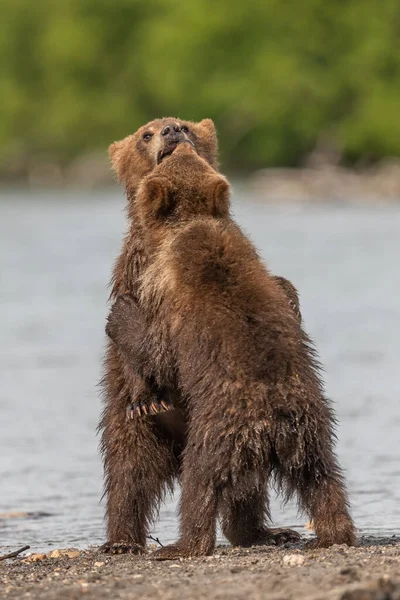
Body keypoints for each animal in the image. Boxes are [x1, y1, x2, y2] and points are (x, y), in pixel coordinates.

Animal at [107, 139, 356, 556]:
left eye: (183, 151)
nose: (178, 136)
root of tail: (272, 423)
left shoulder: (171, 305)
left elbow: (160, 354)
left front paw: (120, 315)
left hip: (214, 434)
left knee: (197, 484)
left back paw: (181, 544)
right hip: (311, 433)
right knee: (323, 479)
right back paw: (335, 532)